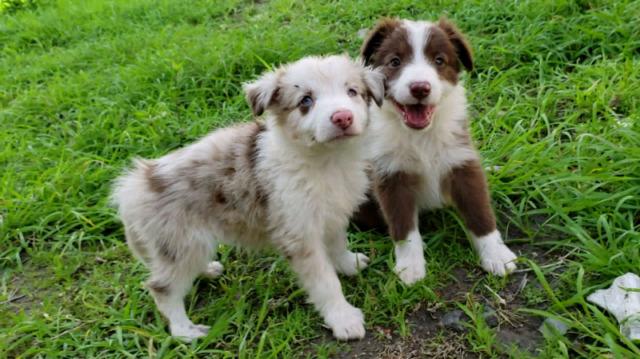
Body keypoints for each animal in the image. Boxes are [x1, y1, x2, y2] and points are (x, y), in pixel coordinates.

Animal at [111, 54, 384, 342]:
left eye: (352, 92)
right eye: (305, 101)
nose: (343, 117)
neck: (328, 160)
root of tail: (133, 186)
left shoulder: (332, 213)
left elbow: (337, 243)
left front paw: (348, 263)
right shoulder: (299, 235)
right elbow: (325, 282)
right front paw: (343, 318)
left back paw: (206, 269)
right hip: (181, 241)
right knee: (161, 288)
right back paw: (185, 331)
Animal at [358, 19, 516, 286]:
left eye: (439, 60)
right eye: (395, 61)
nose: (420, 88)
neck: (421, 136)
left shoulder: (462, 163)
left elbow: (480, 212)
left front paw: (497, 255)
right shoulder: (391, 174)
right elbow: (403, 226)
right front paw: (410, 267)